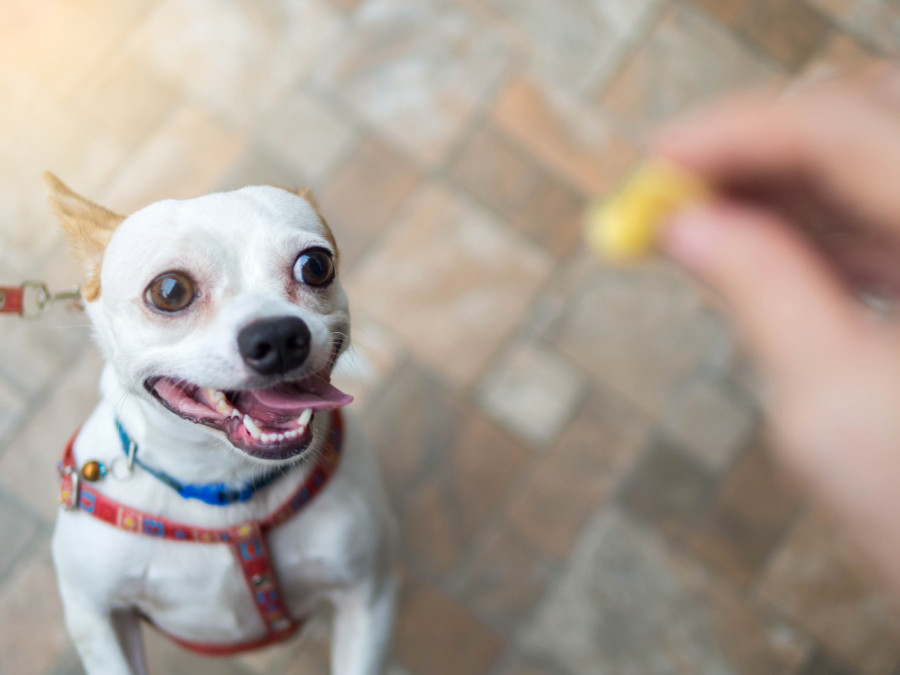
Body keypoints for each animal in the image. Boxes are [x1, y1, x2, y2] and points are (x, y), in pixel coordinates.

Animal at [47, 176, 396, 675]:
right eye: (169, 291)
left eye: (316, 265)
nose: (277, 335)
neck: (224, 486)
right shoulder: (95, 615)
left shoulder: (368, 595)